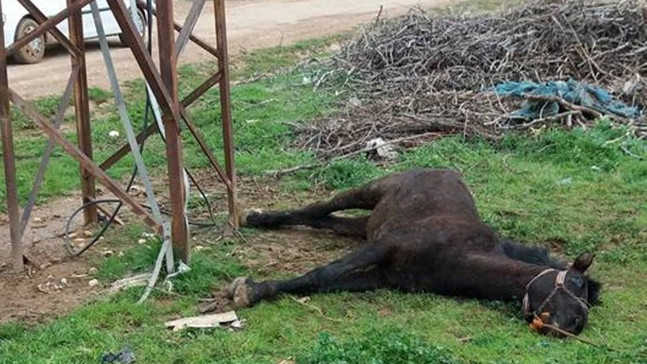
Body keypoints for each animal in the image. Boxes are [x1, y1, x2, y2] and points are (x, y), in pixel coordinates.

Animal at [227, 168, 604, 336]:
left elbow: (321, 283)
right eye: (576, 283)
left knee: (324, 220)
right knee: (318, 208)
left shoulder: (380, 276)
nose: (575, 325)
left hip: (363, 226)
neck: (455, 254)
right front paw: (249, 290)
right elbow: (323, 272)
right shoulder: (382, 247)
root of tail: (440, 169)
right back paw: (255, 218)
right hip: (367, 192)